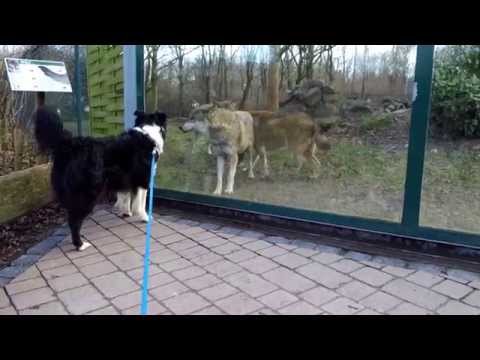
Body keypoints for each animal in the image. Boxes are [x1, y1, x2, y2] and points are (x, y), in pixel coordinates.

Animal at [33, 107, 167, 250]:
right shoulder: (143, 179)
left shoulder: (124, 178)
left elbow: (125, 196)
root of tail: (70, 144)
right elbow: (140, 203)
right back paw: (80, 245)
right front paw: (146, 217)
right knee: (74, 221)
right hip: (87, 194)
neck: (148, 131)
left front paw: (126, 212)